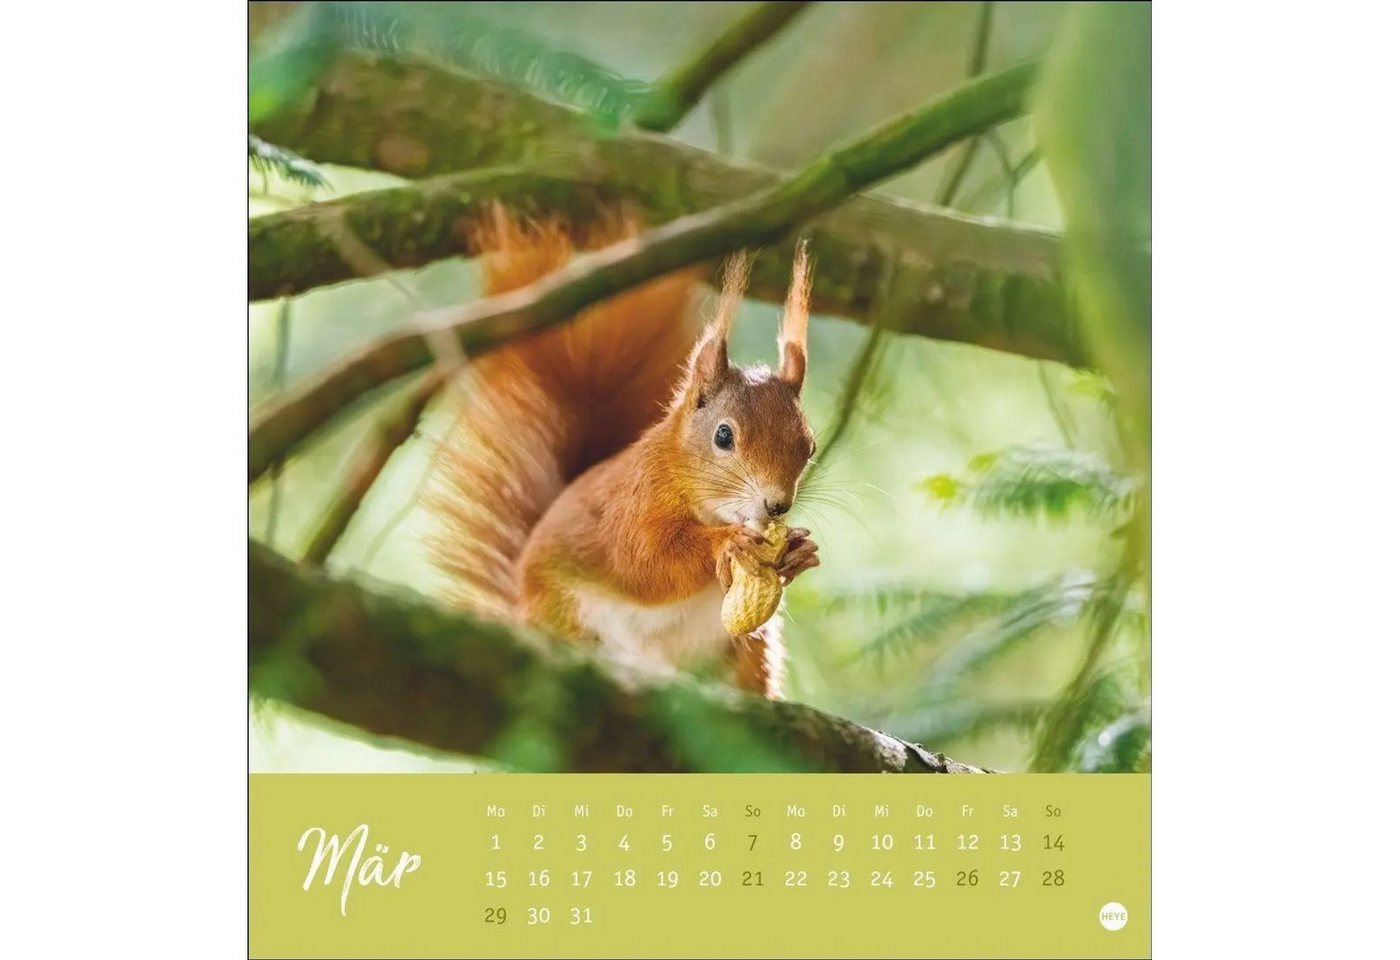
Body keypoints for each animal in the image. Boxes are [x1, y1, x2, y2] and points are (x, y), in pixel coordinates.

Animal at [427, 207, 820, 699]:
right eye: (724, 436)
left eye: (810, 444)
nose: (777, 504)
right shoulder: (630, 506)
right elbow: (646, 561)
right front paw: (725, 544)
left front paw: (800, 551)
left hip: (746, 649)